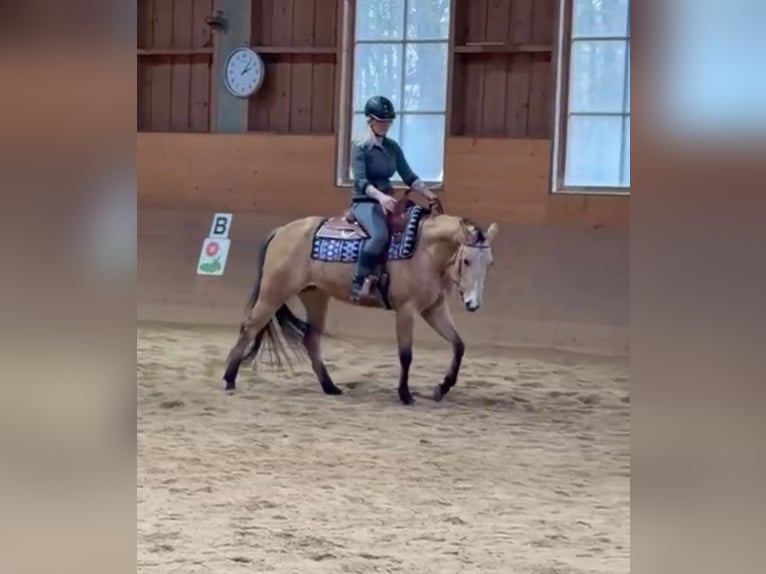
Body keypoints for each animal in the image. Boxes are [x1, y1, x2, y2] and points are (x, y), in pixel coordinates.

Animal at [222, 191, 499, 405]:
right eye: (466, 260)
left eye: (490, 262)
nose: (473, 304)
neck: (424, 251)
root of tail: (281, 231)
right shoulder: (406, 310)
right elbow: (406, 354)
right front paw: (405, 394)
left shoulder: (434, 309)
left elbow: (458, 345)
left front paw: (441, 388)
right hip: (273, 293)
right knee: (249, 327)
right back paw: (229, 379)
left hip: (315, 296)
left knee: (311, 339)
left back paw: (330, 387)